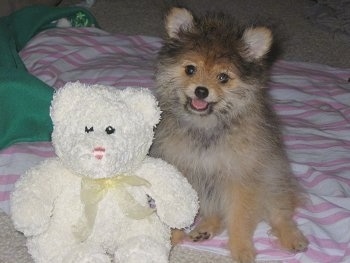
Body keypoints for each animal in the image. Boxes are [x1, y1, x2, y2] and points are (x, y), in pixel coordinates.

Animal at [149, 7, 308, 262]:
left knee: (280, 214)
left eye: (223, 77)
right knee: (216, 214)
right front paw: (170, 239)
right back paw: (204, 229)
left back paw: (293, 238)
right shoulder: (182, 173)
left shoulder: (241, 180)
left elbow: (240, 220)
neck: (206, 127)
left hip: (272, 180)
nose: (201, 91)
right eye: (190, 69)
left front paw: (242, 250)